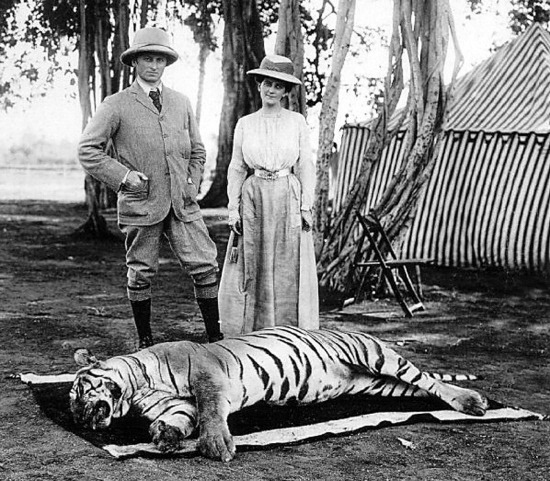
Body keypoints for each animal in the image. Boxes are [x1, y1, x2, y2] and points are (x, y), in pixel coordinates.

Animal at [70, 325, 488, 462]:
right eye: (73, 408)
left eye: (77, 393)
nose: (81, 419)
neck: (136, 388)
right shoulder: (179, 405)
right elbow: (181, 419)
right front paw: (166, 436)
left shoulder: (207, 375)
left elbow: (210, 411)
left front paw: (218, 445)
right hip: (382, 385)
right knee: (420, 389)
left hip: (377, 356)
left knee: (429, 380)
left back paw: (472, 401)